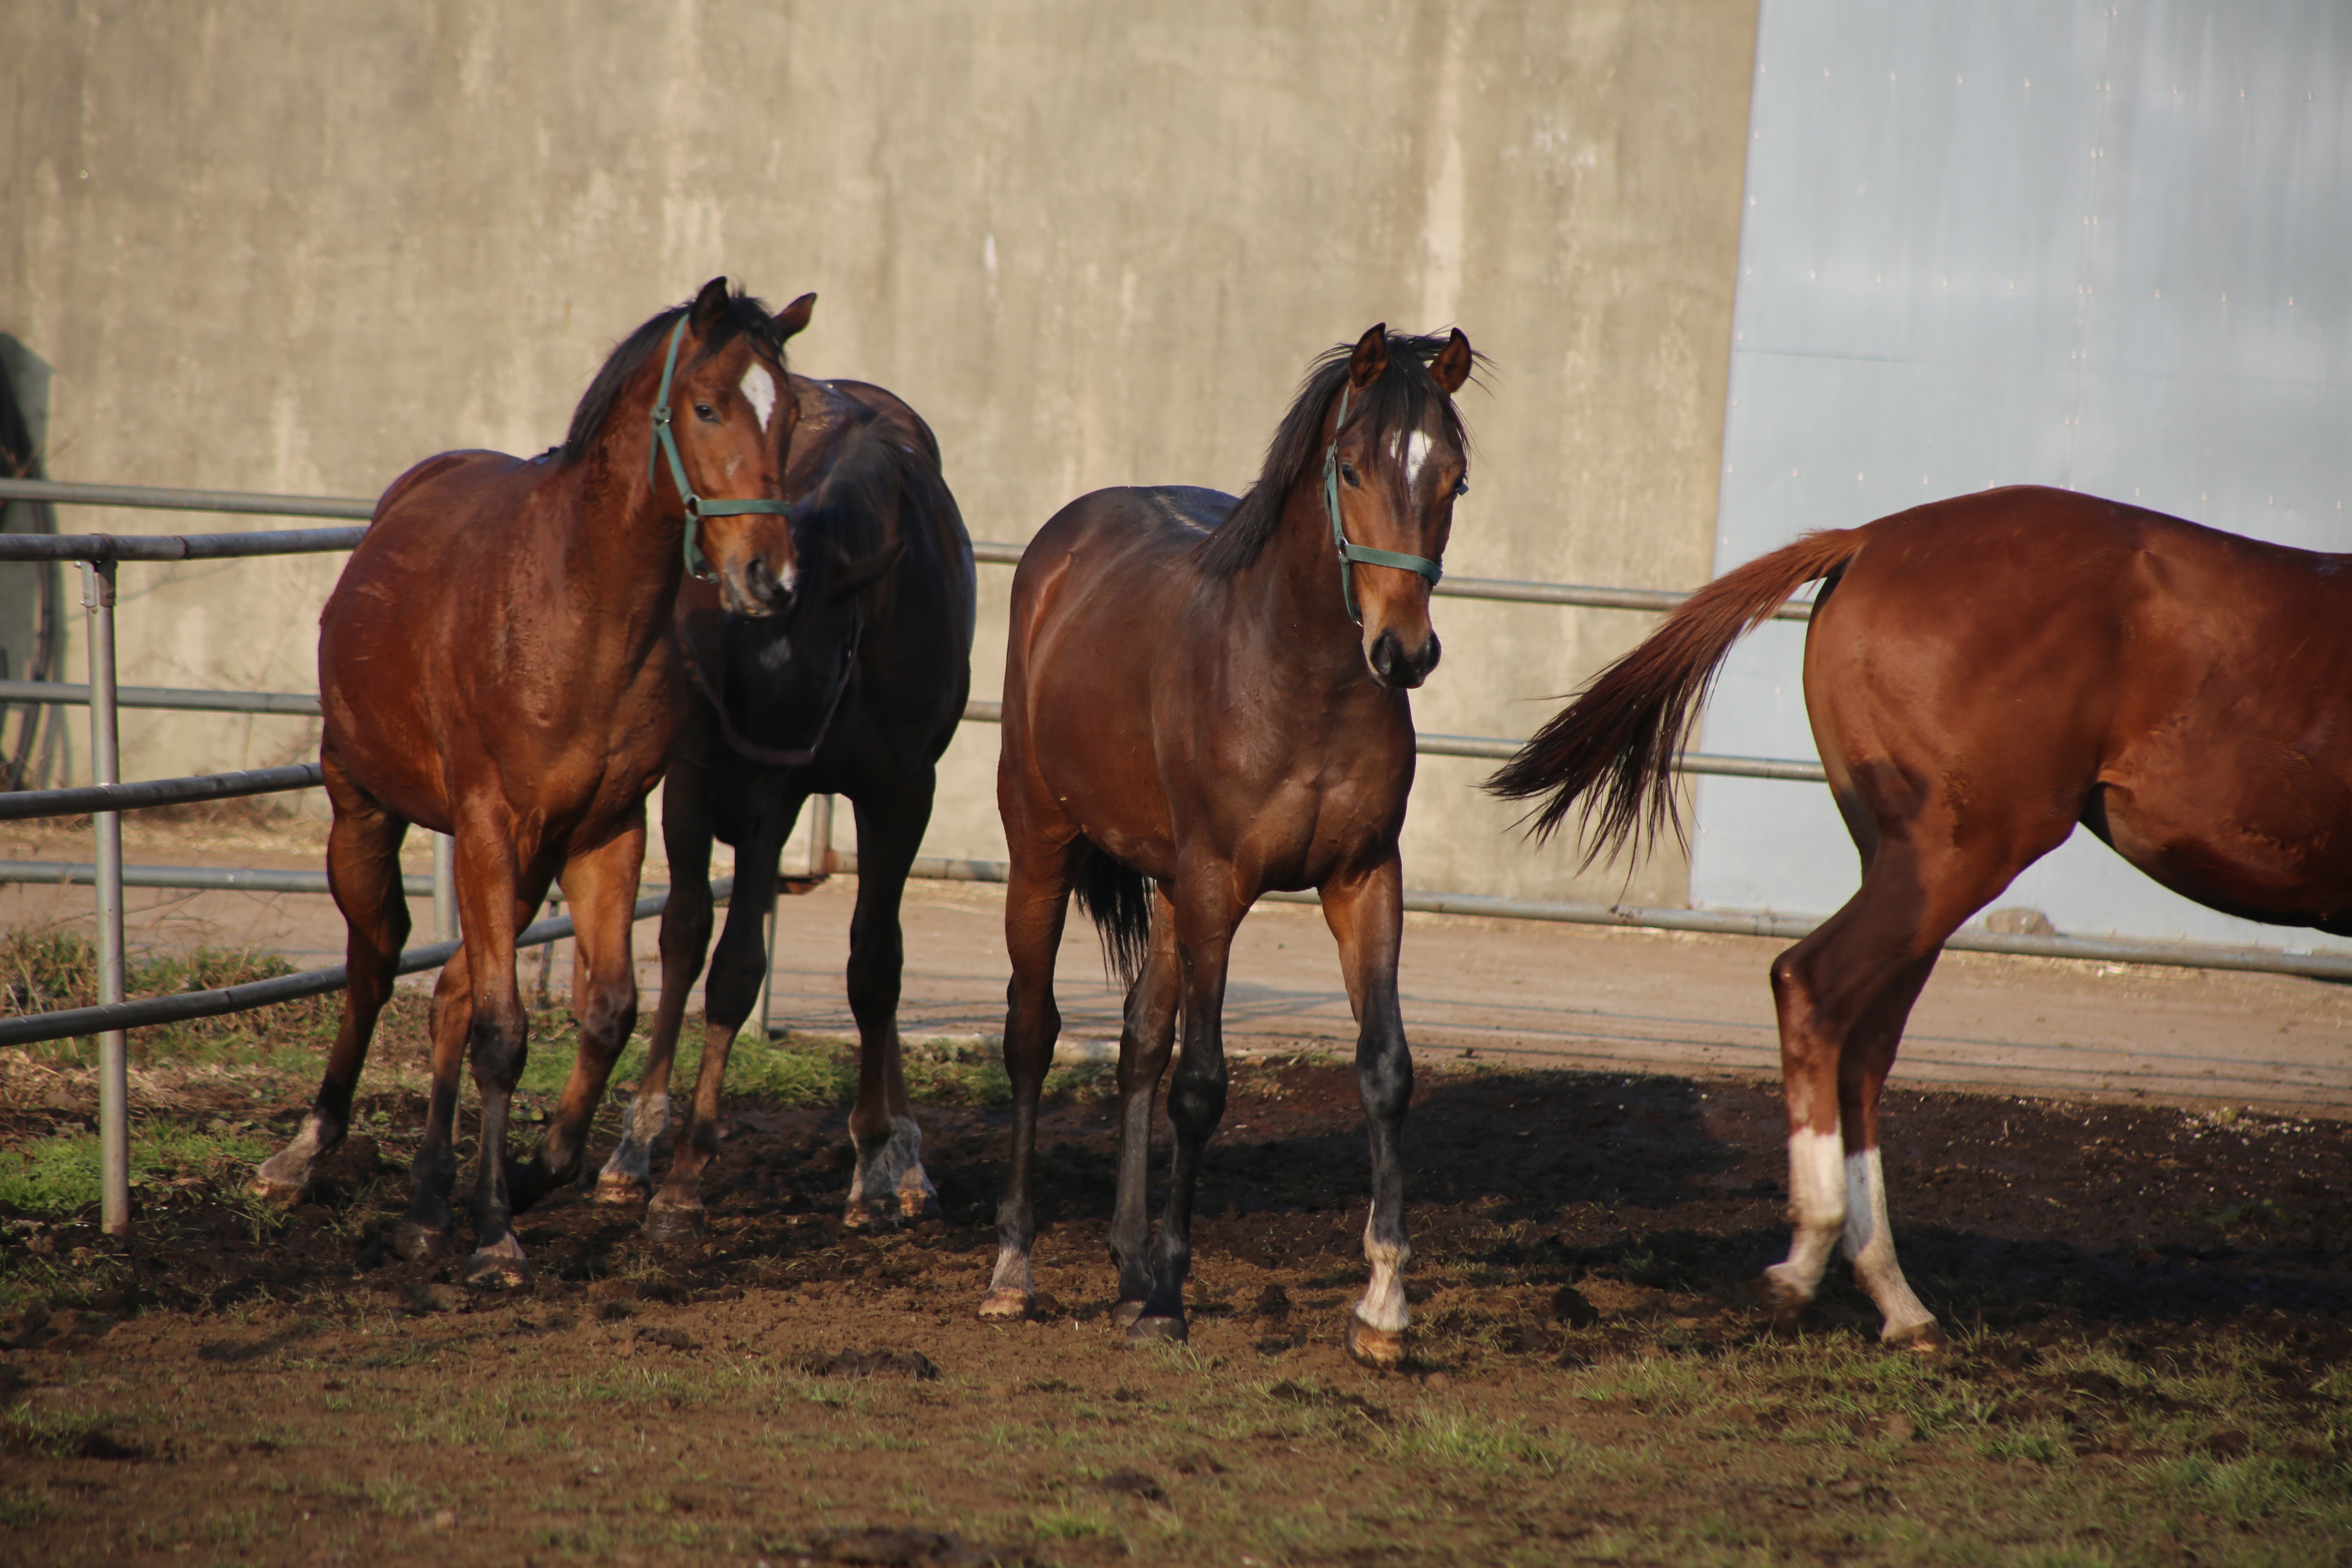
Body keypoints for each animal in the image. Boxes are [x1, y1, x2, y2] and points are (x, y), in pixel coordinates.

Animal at [253, 282, 813, 1288]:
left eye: (788, 413)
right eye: (709, 407)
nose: (772, 577)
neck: (579, 609)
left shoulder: (607, 831)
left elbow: (606, 1012)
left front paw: (530, 1174)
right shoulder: (487, 825)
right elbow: (505, 1034)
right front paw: (495, 1233)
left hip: (522, 862)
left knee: (448, 994)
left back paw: (426, 1204)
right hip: (366, 813)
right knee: (377, 962)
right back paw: (309, 1152)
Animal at [607, 371, 983, 1241]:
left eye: (800, 677)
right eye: (718, 656)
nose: (730, 813)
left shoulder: (901, 794)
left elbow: (877, 966)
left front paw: (880, 1161)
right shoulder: (755, 792)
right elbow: (732, 966)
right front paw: (683, 1177)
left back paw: (902, 1163)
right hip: (702, 796)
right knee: (683, 936)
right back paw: (635, 1149)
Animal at [988, 324, 1468, 1363]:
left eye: (1453, 476)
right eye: (1353, 467)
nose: (1404, 651)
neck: (1301, 675)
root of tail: (1060, 551)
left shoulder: (1363, 879)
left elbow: (1384, 1068)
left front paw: (1383, 1305)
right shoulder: (1219, 883)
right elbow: (1202, 1085)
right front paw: (1173, 1295)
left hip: (1170, 887)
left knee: (1136, 1037)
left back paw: (1127, 1267)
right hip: (1043, 845)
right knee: (1033, 1034)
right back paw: (1015, 1269)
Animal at [1486, 486, 2352, 1354]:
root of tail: (1867, 539)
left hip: (1907, 864)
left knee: (1863, 1045)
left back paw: (1895, 1299)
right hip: (1959, 854)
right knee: (1813, 986)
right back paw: (1806, 1265)